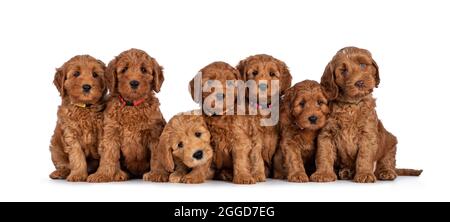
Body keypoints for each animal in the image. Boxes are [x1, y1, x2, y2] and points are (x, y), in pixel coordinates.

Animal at [87, 49, 166, 182]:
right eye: (124, 69)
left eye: (143, 70)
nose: (134, 83)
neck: (132, 105)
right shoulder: (110, 132)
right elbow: (108, 155)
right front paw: (102, 174)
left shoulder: (154, 133)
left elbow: (157, 155)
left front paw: (157, 173)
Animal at [310, 46, 422, 183]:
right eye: (343, 71)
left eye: (363, 65)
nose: (359, 83)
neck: (351, 105)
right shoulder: (326, 134)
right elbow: (324, 154)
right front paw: (323, 173)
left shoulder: (368, 134)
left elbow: (364, 156)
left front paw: (364, 174)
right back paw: (345, 172)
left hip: (390, 142)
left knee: (387, 161)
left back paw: (386, 172)